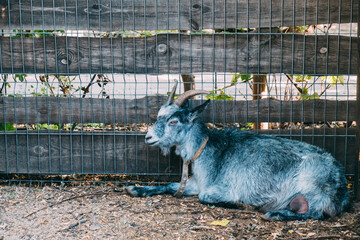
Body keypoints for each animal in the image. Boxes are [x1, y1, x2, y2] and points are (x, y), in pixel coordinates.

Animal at [125, 81, 350, 221]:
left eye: (173, 121)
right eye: (159, 115)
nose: (148, 137)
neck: (208, 150)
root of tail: (343, 187)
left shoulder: (223, 188)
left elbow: (205, 197)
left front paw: (240, 204)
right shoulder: (196, 183)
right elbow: (171, 186)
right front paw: (136, 189)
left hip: (313, 188)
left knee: (317, 213)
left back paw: (276, 214)